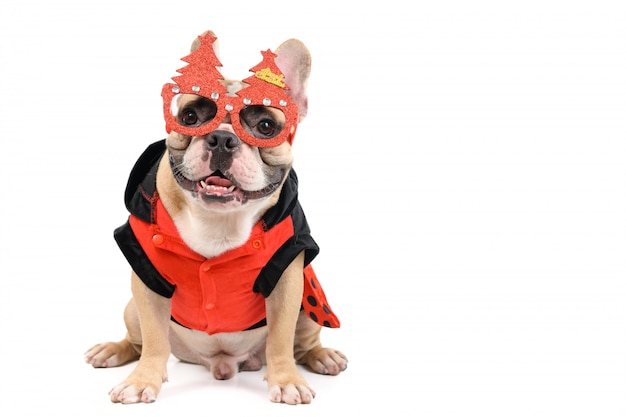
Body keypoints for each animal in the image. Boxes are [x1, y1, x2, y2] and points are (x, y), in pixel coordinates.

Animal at [83, 31, 346, 404]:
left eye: (266, 126)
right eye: (190, 117)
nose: (222, 138)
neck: (219, 220)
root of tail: (221, 364)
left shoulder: (288, 281)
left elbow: (281, 340)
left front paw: (286, 379)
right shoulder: (146, 283)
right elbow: (154, 341)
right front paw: (142, 379)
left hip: (308, 305)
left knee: (302, 343)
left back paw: (322, 357)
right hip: (131, 308)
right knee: (138, 340)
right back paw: (112, 350)